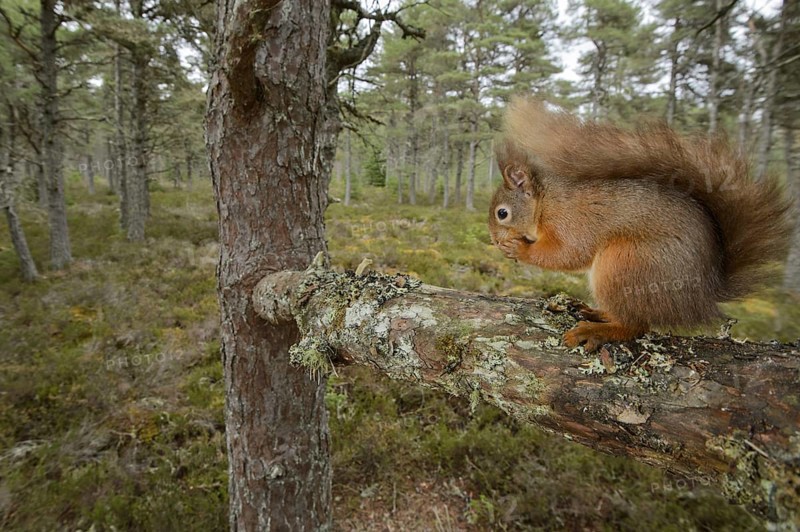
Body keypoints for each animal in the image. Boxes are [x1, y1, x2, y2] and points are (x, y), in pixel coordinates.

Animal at [488, 97, 793, 352]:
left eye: (502, 213)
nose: (493, 240)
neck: (545, 203)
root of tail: (703, 294)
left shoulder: (570, 221)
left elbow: (569, 253)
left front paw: (519, 249)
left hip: (626, 263)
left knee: (636, 325)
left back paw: (595, 330)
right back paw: (596, 312)